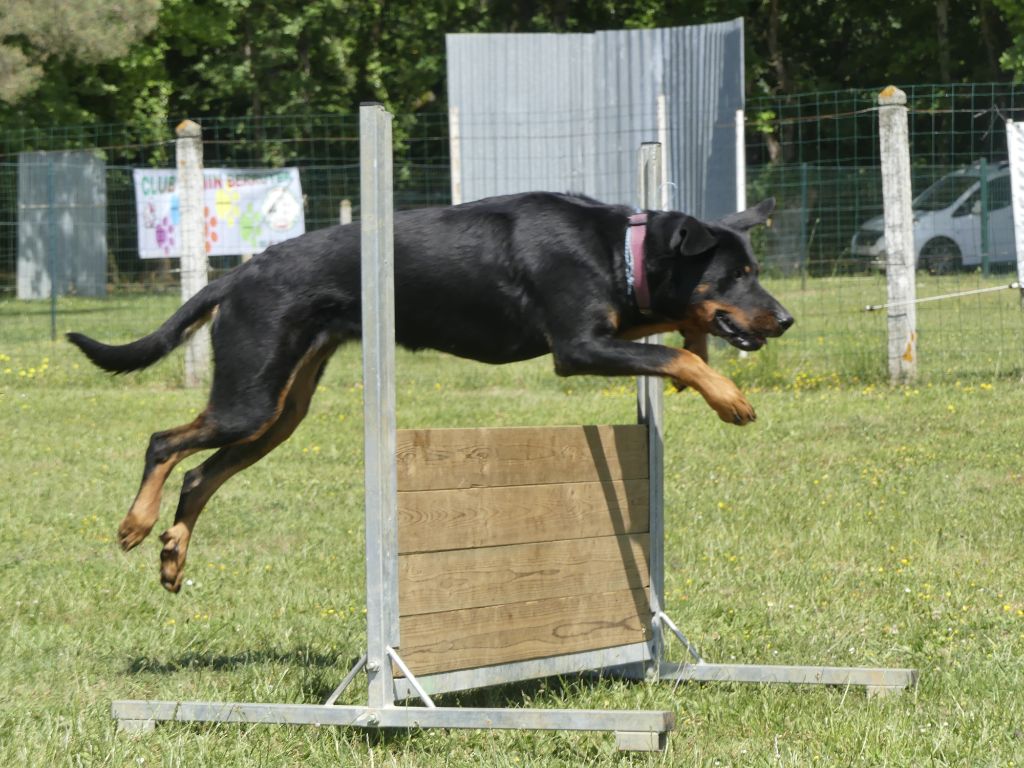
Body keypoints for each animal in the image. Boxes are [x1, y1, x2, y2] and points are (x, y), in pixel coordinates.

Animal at [70, 191, 790, 589]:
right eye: (736, 275)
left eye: (755, 271)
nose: (784, 319)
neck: (622, 250)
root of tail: (235, 276)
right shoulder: (578, 348)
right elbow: (674, 355)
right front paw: (729, 397)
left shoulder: (614, 326)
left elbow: (669, 334)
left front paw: (704, 347)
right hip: (250, 398)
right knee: (164, 442)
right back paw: (136, 525)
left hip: (279, 412)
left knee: (201, 475)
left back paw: (172, 554)